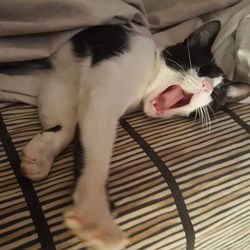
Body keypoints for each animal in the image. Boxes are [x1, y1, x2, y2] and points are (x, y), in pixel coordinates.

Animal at [1, 20, 250, 249]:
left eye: (216, 95)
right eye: (200, 69)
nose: (208, 88)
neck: (148, 77)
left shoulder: (60, 84)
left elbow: (65, 121)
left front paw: (41, 153)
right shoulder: (108, 85)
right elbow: (96, 153)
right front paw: (95, 212)